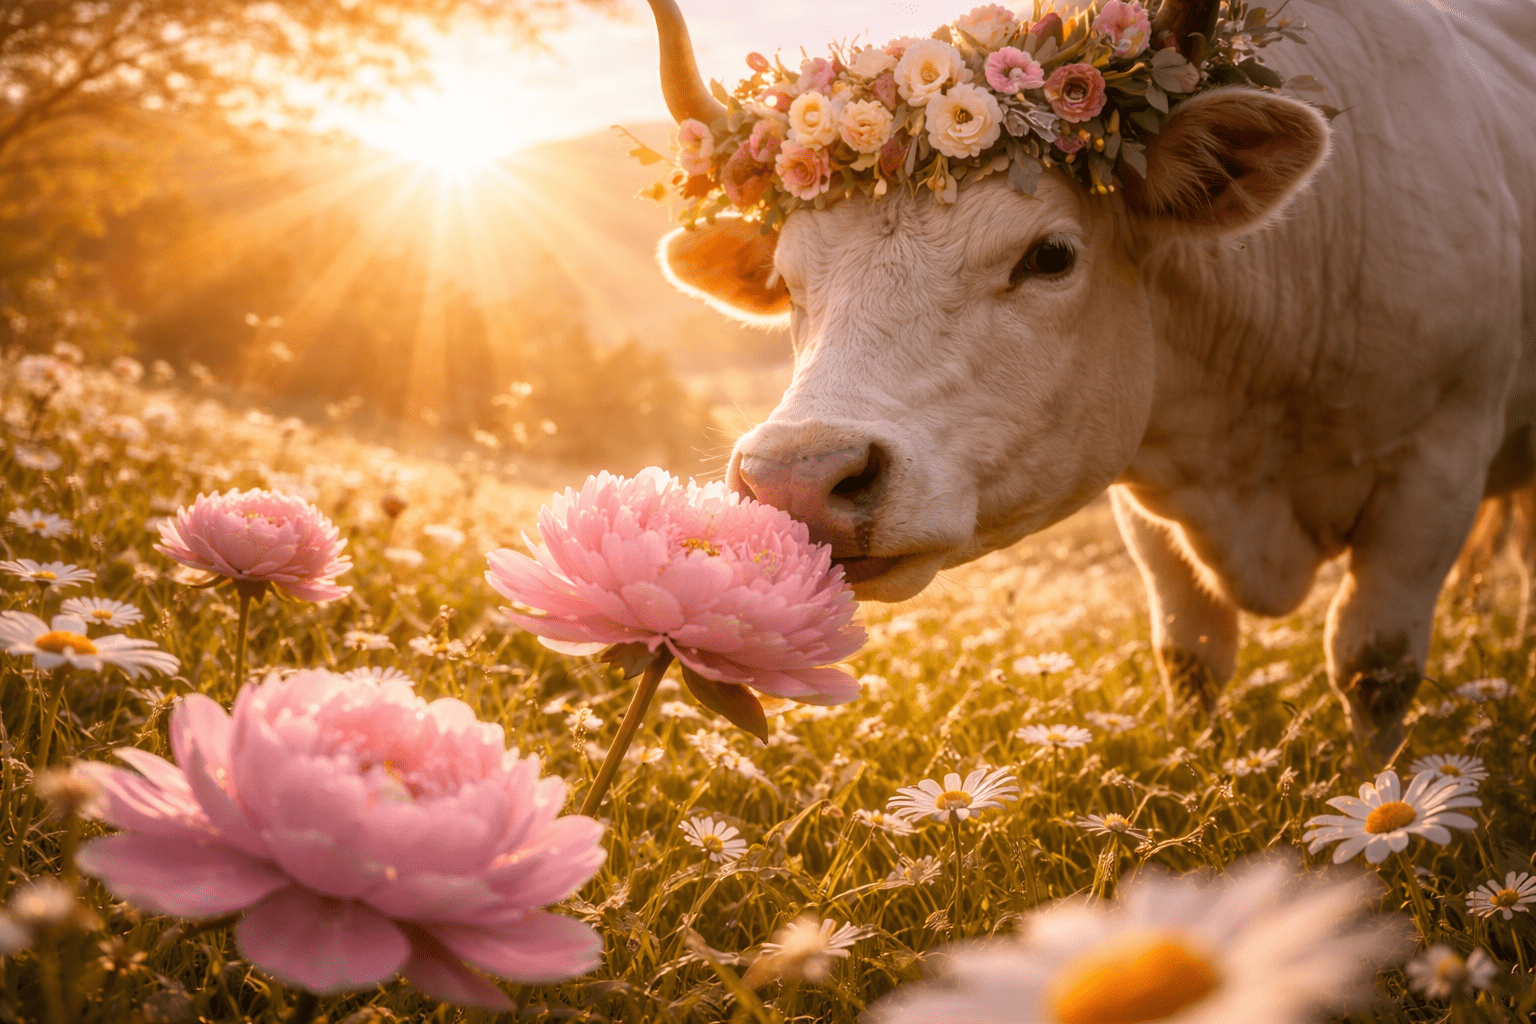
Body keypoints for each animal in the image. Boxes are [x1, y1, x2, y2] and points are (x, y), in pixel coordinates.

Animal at [641, 0, 1536, 762]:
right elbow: (1191, 655)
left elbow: (1372, 666)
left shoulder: (1437, 463)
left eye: (1050, 256)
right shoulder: (1150, 494)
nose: (797, 481)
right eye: (788, 283)